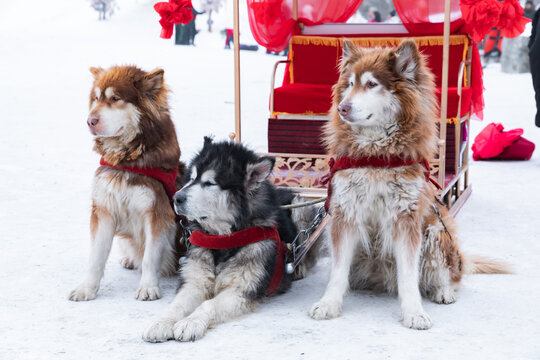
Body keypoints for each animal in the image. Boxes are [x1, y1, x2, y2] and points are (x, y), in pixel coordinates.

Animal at [68, 66, 186, 302]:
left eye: (115, 98)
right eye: (96, 98)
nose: (90, 121)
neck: (127, 161)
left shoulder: (157, 212)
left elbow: (150, 256)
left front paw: (148, 287)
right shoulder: (103, 209)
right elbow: (96, 258)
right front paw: (87, 288)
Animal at [141, 139, 322, 344]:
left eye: (209, 183)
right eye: (191, 179)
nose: (176, 198)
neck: (221, 239)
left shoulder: (240, 289)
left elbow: (209, 305)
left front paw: (190, 322)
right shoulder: (195, 281)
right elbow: (177, 304)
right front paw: (161, 322)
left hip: (301, 210)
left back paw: (298, 267)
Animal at [308, 38, 510, 330]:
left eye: (371, 84)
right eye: (350, 84)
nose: (342, 108)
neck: (376, 156)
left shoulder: (407, 218)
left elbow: (408, 274)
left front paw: (414, 311)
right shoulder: (345, 214)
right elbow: (337, 270)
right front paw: (329, 303)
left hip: (437, 231)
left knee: (450, 276)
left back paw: (443, 290)